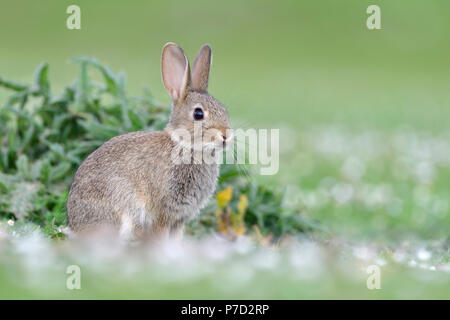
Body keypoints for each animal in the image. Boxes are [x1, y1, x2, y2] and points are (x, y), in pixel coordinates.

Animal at [67, 43, 232, 242]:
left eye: (224, 110)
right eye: (198, 114)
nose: (227, 136)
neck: (184, 145)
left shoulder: (179, 219)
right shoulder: (163, 212)